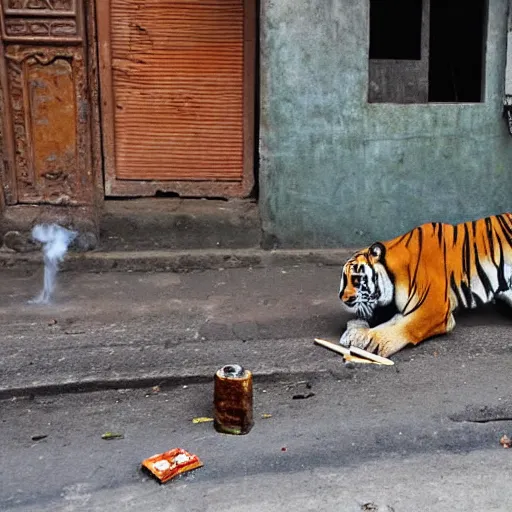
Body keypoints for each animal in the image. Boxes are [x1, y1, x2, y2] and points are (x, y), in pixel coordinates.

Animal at [340, 214, 512, 358]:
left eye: (356, 278)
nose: (343, 299)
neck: (396, 275)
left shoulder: (435, 308)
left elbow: (406, 326)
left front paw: (374, 342)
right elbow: (392, 321)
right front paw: (357, 334)